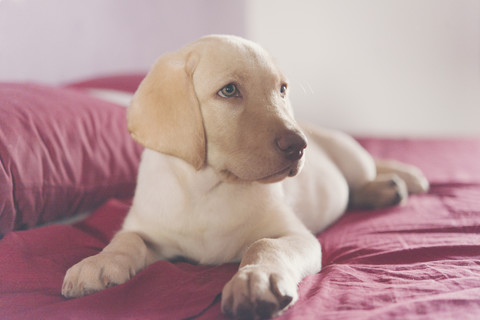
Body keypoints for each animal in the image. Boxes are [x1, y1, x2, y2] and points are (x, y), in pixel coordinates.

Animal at [62, 34, 428, 318]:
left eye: (282, 90)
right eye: (229, 91)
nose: (300, 145)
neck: (208, 187)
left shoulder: (297, 235)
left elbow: (265, 244)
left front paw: (255, 281)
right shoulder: (150, 229)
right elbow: (128, 239)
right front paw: (99, 262)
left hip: (350, 155)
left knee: (367, 170)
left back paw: (399, 181)